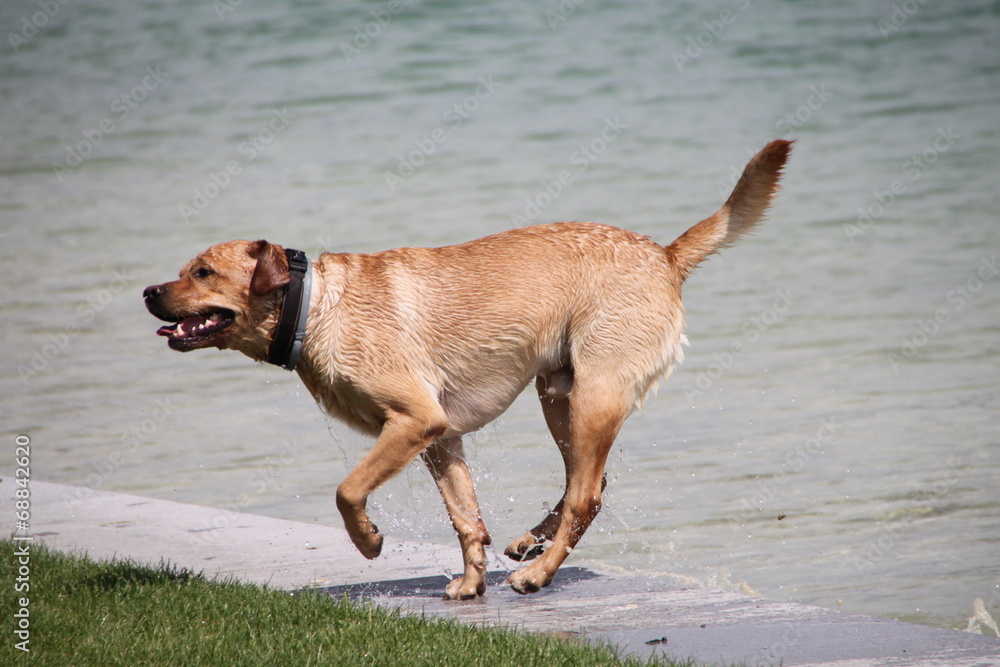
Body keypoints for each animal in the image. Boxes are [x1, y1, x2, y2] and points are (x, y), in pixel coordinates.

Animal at [145, 140, 792, 600]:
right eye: (185, 270)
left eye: (202, 272)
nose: (149, 292)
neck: (317, 306)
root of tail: (665, 254)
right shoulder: (440, 436)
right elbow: (464, 517)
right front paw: (472, 581)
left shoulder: (412, 422)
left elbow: (347, 489)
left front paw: (369, 542)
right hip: (559, 393)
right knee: (587, 484)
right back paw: (530, 544)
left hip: (594, 393)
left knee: (586, 495)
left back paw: (539, 574)